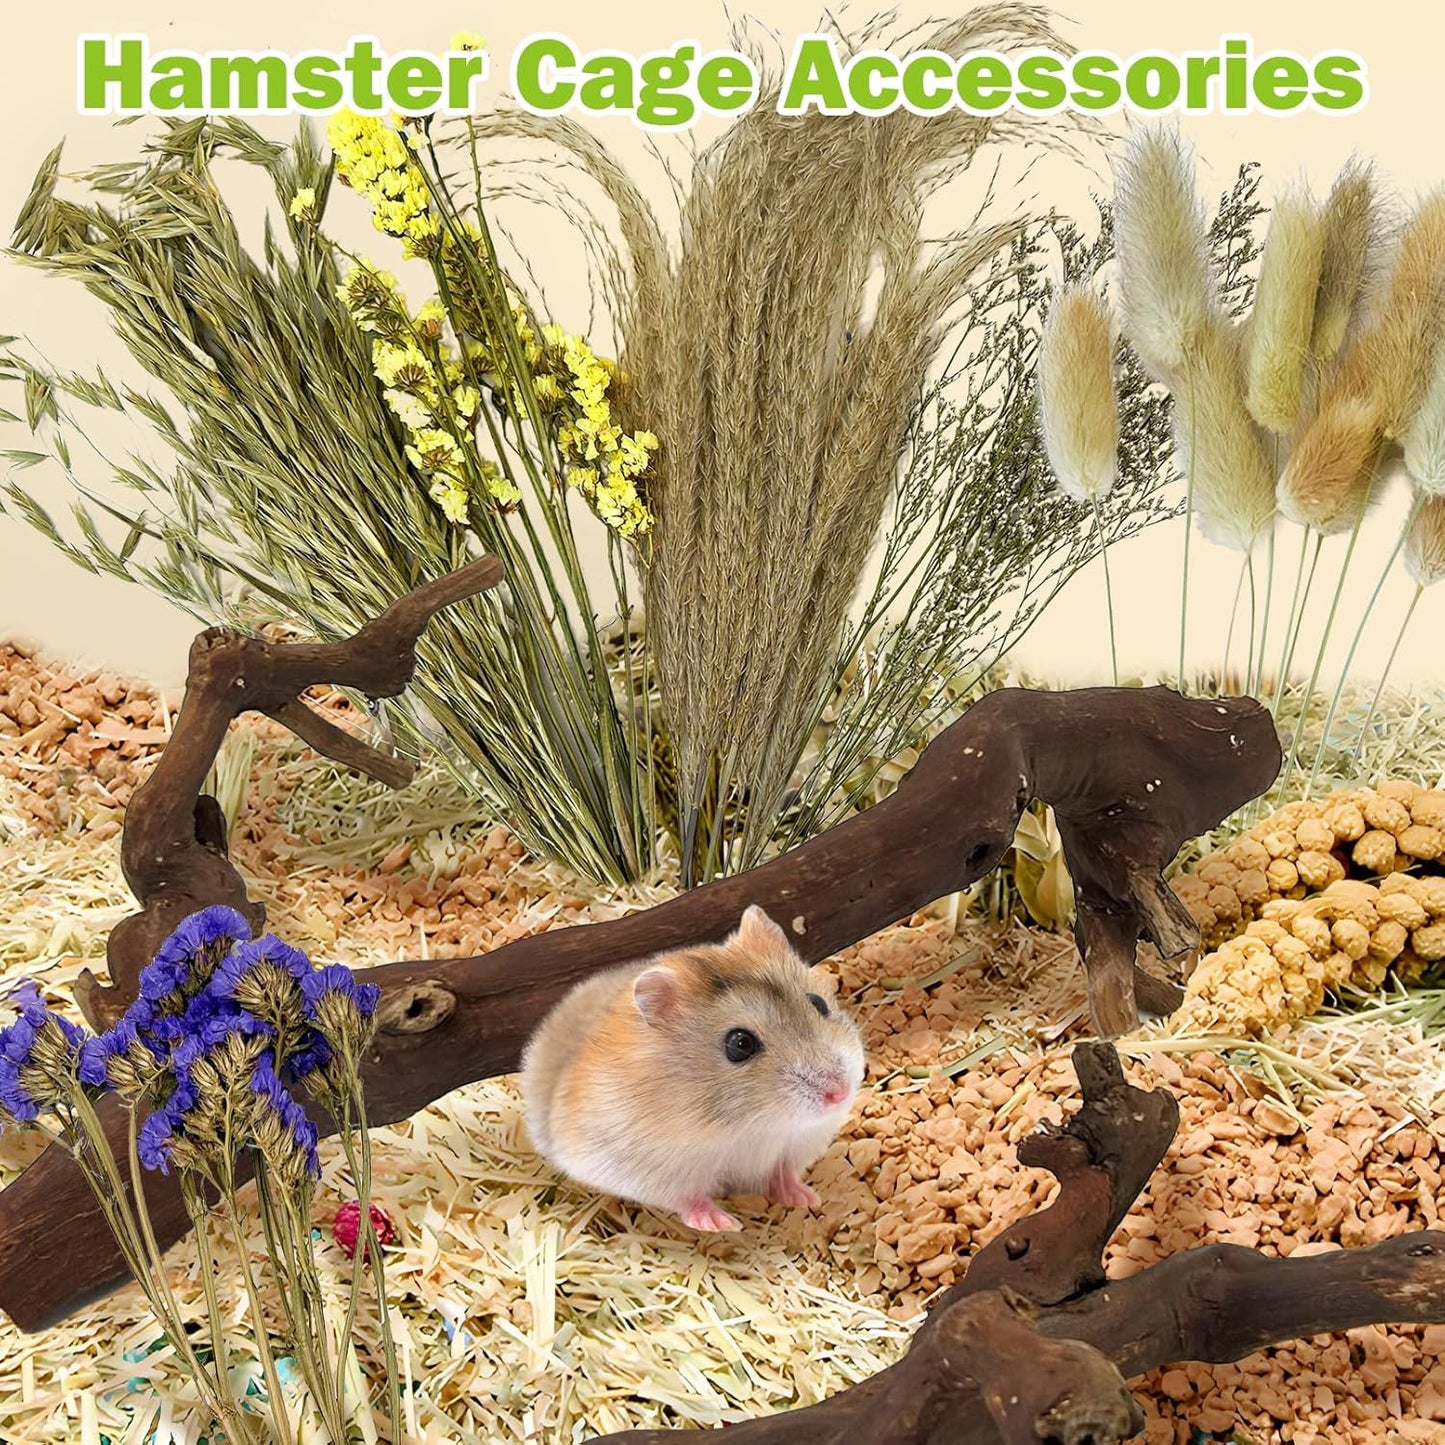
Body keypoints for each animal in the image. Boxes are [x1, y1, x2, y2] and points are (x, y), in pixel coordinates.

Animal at [520, 904, 866, 1232]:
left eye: (819, 1003)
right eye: (740, 1044)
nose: (839, 1093)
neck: (752, 1125)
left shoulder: (794, 1146)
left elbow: (783, 1174)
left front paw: (807, 1198)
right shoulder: (648, 1168)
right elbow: (688, 1198)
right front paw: (723, 1224)